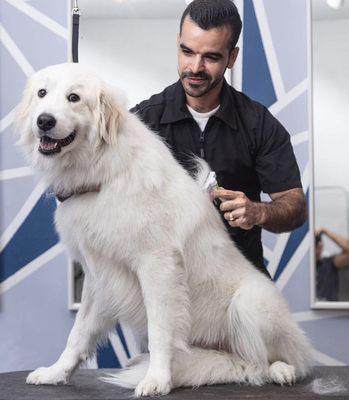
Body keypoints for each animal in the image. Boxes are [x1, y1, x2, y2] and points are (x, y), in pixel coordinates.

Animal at [14, 63, 312, 396]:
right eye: (42, 93)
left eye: (74, 98)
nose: (44, 121)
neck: (104, 171)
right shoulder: (99, 274)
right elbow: (78, 333)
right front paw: (57, 372)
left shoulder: (158, 266)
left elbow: (160, 329)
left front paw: (156, 379)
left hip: (250, 302)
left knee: (277, 359)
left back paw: (282, 370)